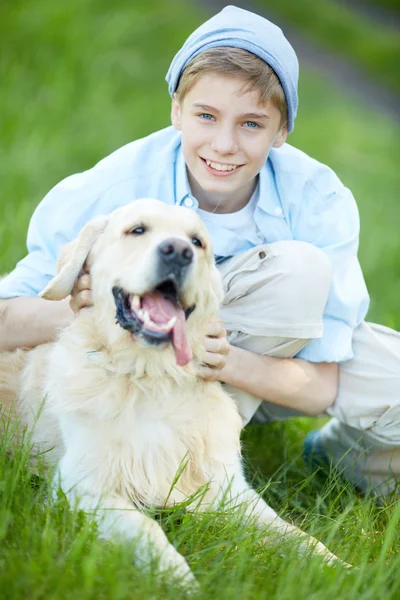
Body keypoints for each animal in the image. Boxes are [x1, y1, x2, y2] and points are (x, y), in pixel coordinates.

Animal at [0, 199, 348, 588]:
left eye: (197, 242)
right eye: (137, 230)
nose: (179, 251)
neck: (153, 375)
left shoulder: (232, 489)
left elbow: (297, 535)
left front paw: (342, 569)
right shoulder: (81, 484)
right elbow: (147, 529)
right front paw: (179, 580)